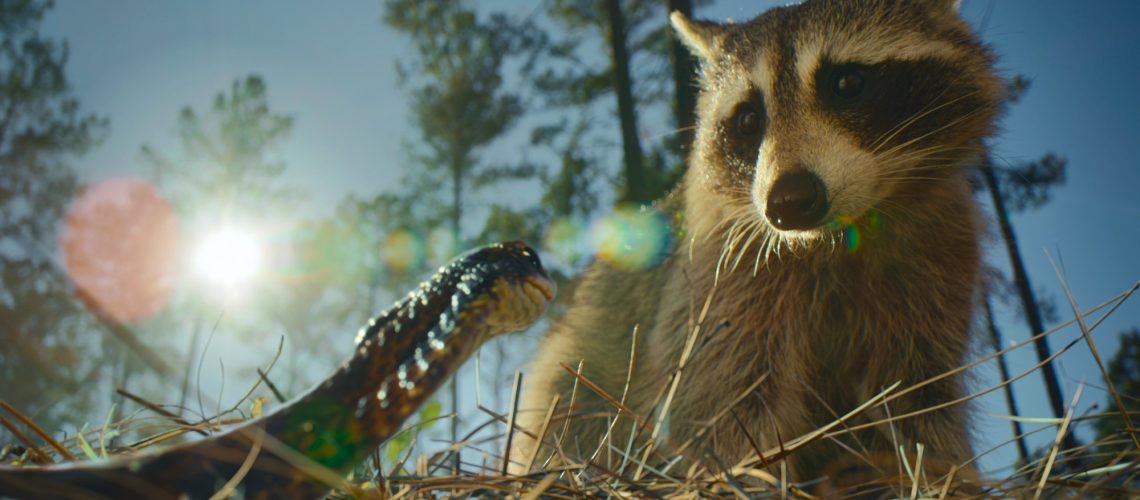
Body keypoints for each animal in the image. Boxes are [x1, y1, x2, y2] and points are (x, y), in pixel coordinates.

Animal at [514, 0, 1002, 492]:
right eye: (748, 120)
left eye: (847, 83)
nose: (790, 202)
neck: (836, 239)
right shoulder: (718, 279)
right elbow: (718, 412)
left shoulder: (940, 251)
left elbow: (923, 402)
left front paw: (944, 477)